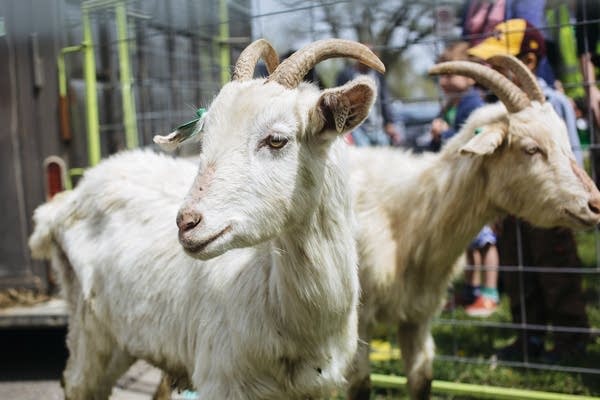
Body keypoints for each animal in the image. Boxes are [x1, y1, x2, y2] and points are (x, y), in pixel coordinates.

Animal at [28, 38, 384, 400]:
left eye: (276, 139)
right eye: (205, 138)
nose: (187, 223)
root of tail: (64, 202)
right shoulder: (221, 379)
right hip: (90, 327)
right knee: (77, 381)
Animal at [342, 56, 600, 400]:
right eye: (530, 149)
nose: (594, 204)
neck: (410, 213)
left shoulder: (417, 315)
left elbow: (422, 381)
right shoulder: (358, 322)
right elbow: (360, 387)